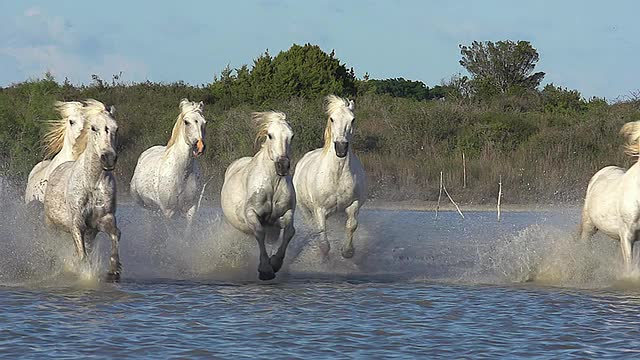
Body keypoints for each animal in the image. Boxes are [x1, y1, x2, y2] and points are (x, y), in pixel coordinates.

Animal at [44, 99, 122, 282]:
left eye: (116, 128)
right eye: (93, 128)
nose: (109, 158)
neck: (92, 183)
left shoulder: (102, 220)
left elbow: (115, 235)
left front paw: (114, 270)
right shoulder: (77, 223)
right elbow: (82, 256)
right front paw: (87, 276)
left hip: (90, 233)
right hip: (51, 225)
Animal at [131, 98, 208, 231]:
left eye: (204, 122)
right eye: (186, 122)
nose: (200, 147)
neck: (181, 174)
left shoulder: (190, 210)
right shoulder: (168, 212)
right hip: (148, 209)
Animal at [221, 111, 296, 280]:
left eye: (291, 136)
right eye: (270, 135)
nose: (283, 166)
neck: (273, 184)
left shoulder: (286, 212)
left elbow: (289, 232)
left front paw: (275, 263)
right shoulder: (251, 213)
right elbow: (260, 232)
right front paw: (265, 269)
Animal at [294, 95, 364, 258]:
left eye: (353, 120)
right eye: (332, 119)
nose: (341, 148)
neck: (336, 175)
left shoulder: (354, 203)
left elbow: (352, 225)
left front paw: (347, 251)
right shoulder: (319, 209)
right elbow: (323, 239)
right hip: (303, 208)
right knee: (311, 226)